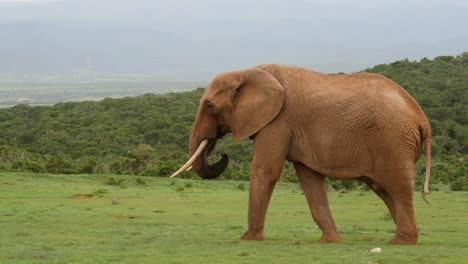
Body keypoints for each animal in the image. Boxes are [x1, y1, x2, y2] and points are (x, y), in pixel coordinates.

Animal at [172, 64, 432, 245]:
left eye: (209, 106)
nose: (222, 153)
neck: (248, 72)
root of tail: (422, 118)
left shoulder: (277, 121)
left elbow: (265, 171)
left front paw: (249, 239)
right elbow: (310, 180)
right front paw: (330, 242)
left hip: (394, 141)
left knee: (397, 187)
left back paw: (400, 243)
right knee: (384, 189)